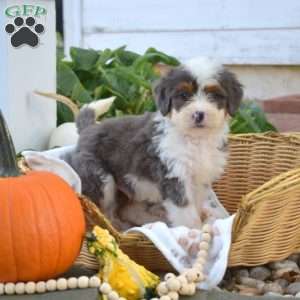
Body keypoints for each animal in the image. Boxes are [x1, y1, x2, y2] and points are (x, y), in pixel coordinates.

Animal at [67, 56, 241, 230]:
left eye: (214, 95)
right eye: (184, 95)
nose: (198, 114)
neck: (195, 139)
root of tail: (89, 128)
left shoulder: (199, 178)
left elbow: (196, 205)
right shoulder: (174, 175)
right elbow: (185, 212)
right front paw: (191, 230)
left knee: (127, 210)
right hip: (102, 180)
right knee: (106, 211)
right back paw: (119, 227)